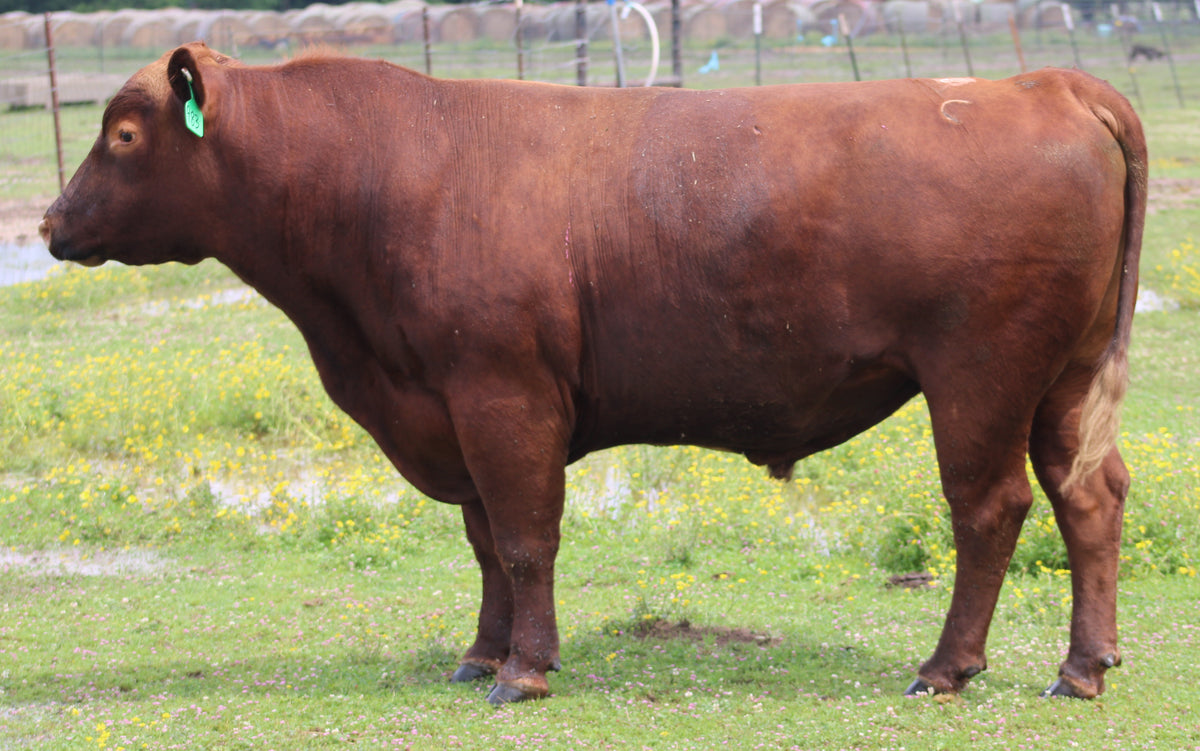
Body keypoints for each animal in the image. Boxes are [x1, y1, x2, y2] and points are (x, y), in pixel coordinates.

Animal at [40, 43, 1146, 706]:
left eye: (124, 134)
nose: (49, 221)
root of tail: (1045, 82)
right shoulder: (452, 403)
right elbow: (487, 542)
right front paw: (482, 653)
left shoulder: (503, 393)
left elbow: (526, 538)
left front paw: (524, 671)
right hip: (1065, 378)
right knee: (1089, 495)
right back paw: (1084, 666)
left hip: (979, 374)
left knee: (991, 507)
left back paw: (947, 667)